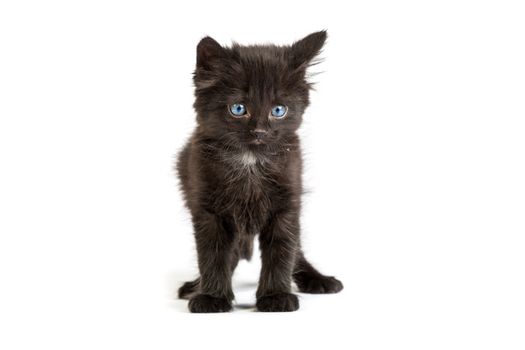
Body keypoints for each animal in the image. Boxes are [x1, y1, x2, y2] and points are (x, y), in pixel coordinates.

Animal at [176, 31, 342, 314]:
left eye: (278, 110)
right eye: (238, 108)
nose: (260, 132)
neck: (250, 163)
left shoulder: (286, 206)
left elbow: (283, 251)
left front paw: (276, 296)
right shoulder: (208, 210)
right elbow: (213, 255)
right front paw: (211, 297)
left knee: (297, 249)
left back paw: (317, 279)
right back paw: (195, 286)